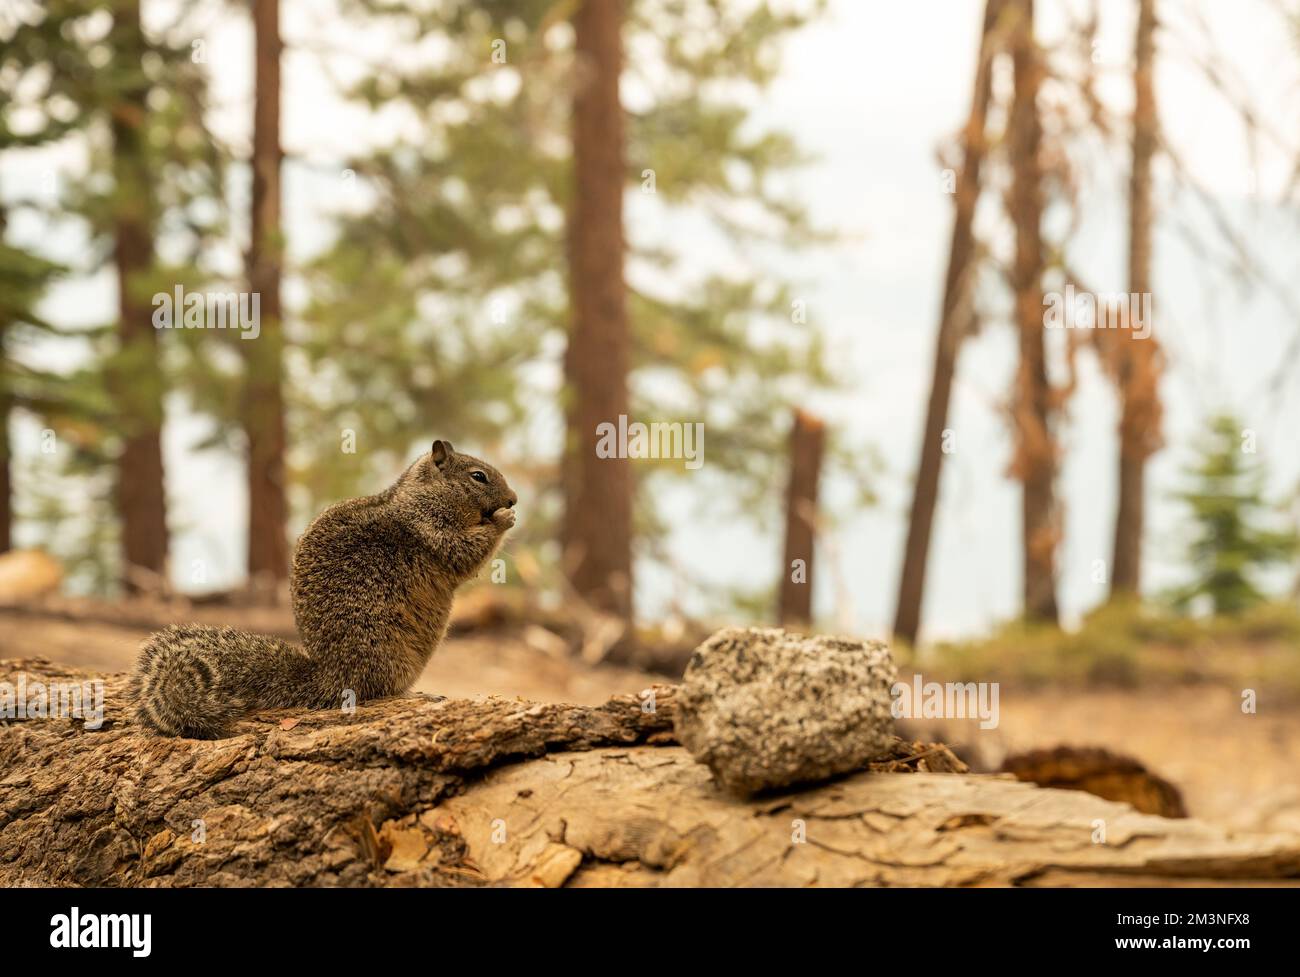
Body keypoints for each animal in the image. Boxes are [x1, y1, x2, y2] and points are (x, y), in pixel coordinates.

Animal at [129, 440, 517, 738]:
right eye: (478, 476)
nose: (513, 499)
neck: (420, 494)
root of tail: (331, 676)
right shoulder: (430, 527)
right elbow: (463, 553)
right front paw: (503, 520)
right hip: (384, 648)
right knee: (377, 691)